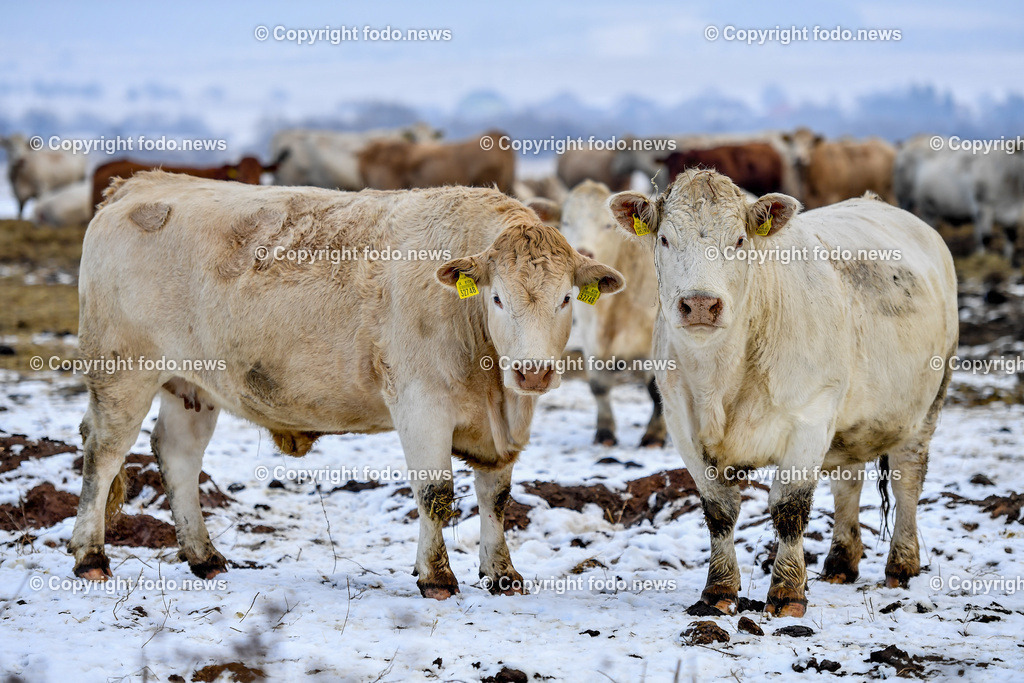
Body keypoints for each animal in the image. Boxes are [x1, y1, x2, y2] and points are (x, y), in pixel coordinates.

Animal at [70, 172, 624, 600]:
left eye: (566, 297)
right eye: (497, 298)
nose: (533, 371)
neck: (494, 390)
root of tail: (142, 183)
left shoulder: (503, 428)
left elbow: (497, 497)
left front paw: (502, 573)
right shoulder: (420, 404)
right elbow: (436, 493)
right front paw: (437, 577)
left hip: (191, 385)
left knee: (178, 455)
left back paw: (204, 557)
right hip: (122, 370)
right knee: (103, 453)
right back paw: (90, 556)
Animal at [559, 181, 665, 447]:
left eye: (608, 225)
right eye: (565, 222)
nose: (584, 252)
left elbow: (655, 389)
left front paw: (654, 435)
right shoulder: (590, 341)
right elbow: (599, 385)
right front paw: (605, 433)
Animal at [608, 169, 957, 617]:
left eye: (740, 240)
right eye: (665, 239)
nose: (701, 304)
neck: (718, 382)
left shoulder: (809, 419)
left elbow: (789, 510)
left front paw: (788, 592)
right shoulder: (681, 424)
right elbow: (719, 510)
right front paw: (719, 590)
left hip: (928, 402)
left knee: (906, 479)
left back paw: (901, 565)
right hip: (848, 420)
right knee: (848, 481)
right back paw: (840, 563)